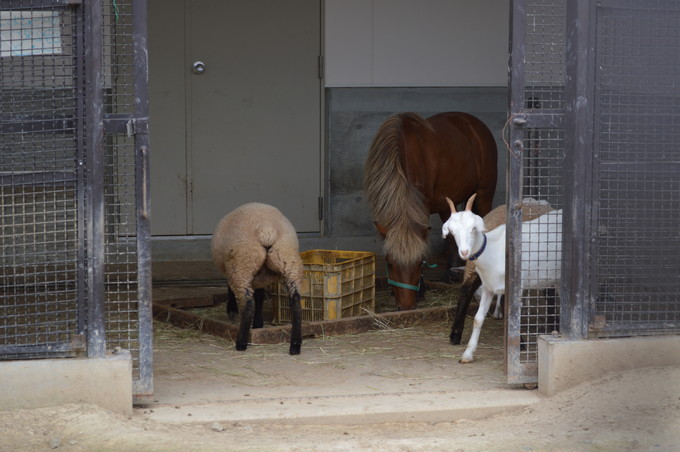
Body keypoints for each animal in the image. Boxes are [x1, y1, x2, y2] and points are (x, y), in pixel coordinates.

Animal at [363, 112, 497, 310]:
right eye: (389, 262)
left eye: (420, 262)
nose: (406, 307)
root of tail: (475, 124)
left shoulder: (423, 205)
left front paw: (421, 291)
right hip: (447, 204)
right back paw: (450, 274)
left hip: (484, 195)